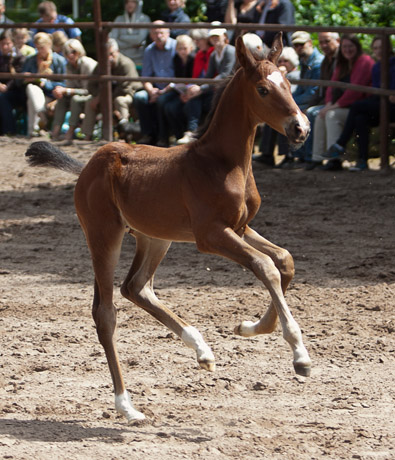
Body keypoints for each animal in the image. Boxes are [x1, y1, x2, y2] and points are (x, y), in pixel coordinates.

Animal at [27, 35, 312, 424]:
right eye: (264, 89)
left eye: (289, 84)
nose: (301, 129)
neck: (221, 163)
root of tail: (89, 165)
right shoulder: (211, 235)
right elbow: (265, 266)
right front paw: (299, 355)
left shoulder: (241, 226)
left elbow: (284, 260)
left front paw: (250, 327)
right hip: (104, 235)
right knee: (105, 312)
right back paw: (127, 406)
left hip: (154, 237)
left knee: (136, 287)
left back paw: (202, 350)